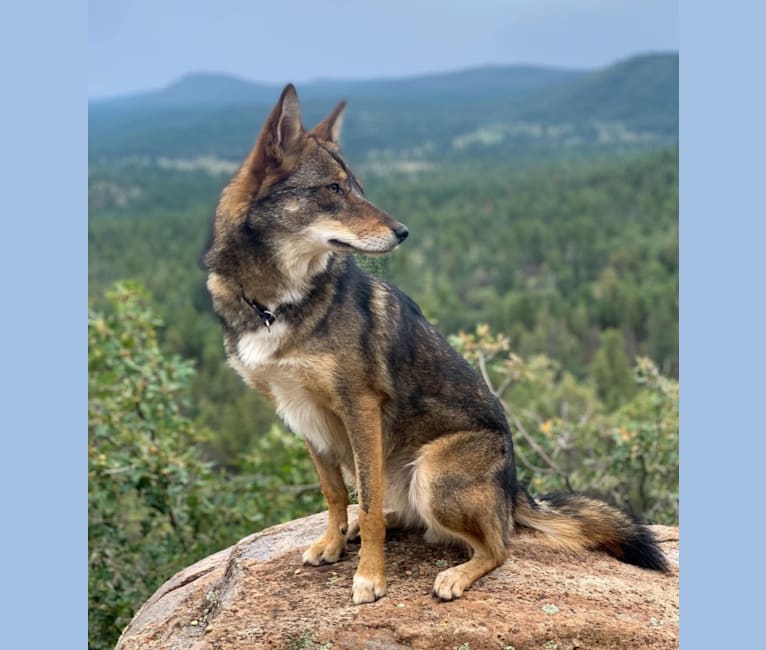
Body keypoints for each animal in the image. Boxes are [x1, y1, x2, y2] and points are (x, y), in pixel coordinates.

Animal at [202, 85, 664, 604]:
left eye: (357, 187)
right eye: (334, 190)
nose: (403, 232)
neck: (279, 301)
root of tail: (514, 490)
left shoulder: (359, 405)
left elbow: (365, 501)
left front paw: (369, 578)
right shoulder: (300, 412)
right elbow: (337, 493)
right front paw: (333, 543)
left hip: (433, 474)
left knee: (499, 547)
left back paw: (456, 575)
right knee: (404, 516)